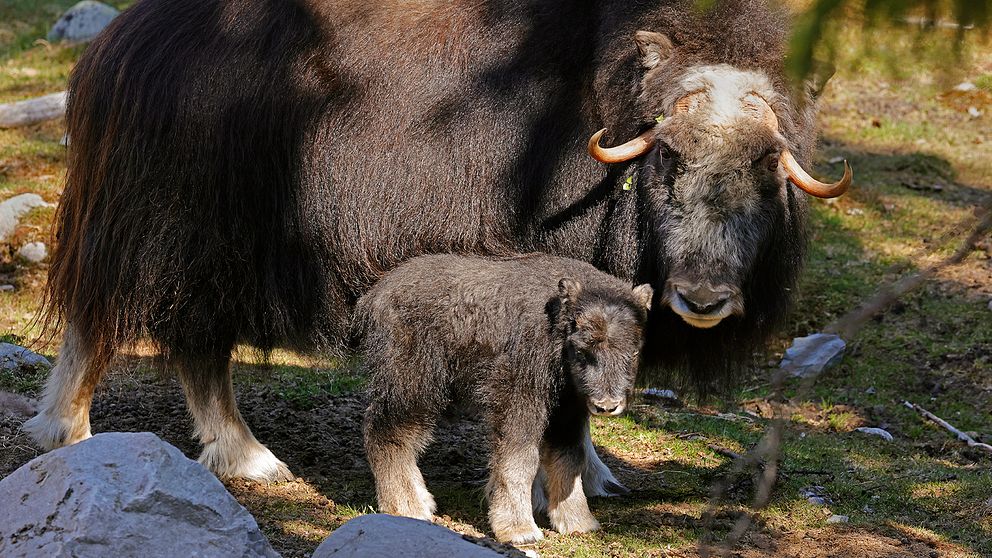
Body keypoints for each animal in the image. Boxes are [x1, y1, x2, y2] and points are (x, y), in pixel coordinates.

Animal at [354, 256, 652, 544]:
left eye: (634, 352)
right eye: (582, 350)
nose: (607, 405)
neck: (556, 330)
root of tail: (374, 296)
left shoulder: (566, 413)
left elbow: (569, 459)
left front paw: (577, 521)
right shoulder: (519, 401)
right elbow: (519, 460)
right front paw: (519, 529)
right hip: (412, 387)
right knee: (386, 434)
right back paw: (407, 506)